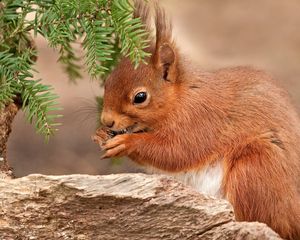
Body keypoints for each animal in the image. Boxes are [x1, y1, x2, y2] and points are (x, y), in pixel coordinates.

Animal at [92, 1, 300, 238]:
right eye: (108, 81)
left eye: (140, 97)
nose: (107, 120)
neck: (181, 98)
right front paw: (100, 134)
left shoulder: (200, 120)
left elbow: (176, 152)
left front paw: (126, 143)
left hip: (255, 169)